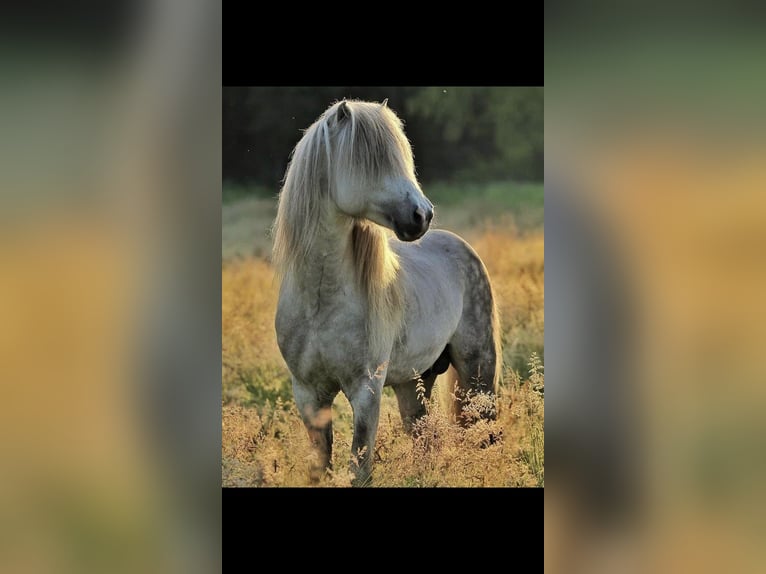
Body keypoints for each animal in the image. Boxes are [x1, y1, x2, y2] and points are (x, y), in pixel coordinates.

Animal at [272, 99, 501, 485]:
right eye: (370, 163)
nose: (422, 215)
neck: (320, 301)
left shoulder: (366, 391)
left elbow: (359, 468)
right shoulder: (307, 394)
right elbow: (321, 466)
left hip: (477, 368)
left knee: (485, 433)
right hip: (414, 382)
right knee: (425, 440)